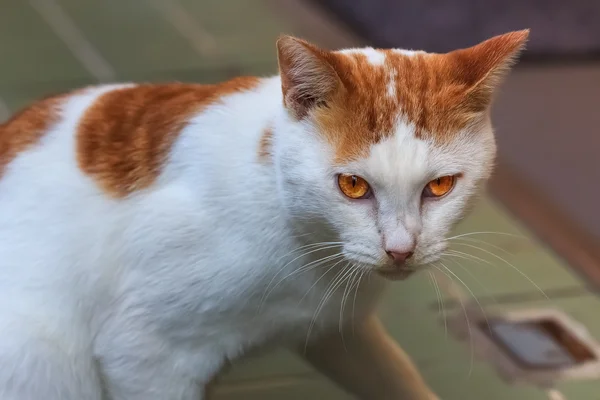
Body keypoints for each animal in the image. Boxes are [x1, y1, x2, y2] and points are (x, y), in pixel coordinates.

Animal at [0, 28, 524, 400]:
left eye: (439, 186)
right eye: (353, 186)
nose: (400, 250)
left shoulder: (338, 329)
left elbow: (397, 377)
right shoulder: (146, 353)